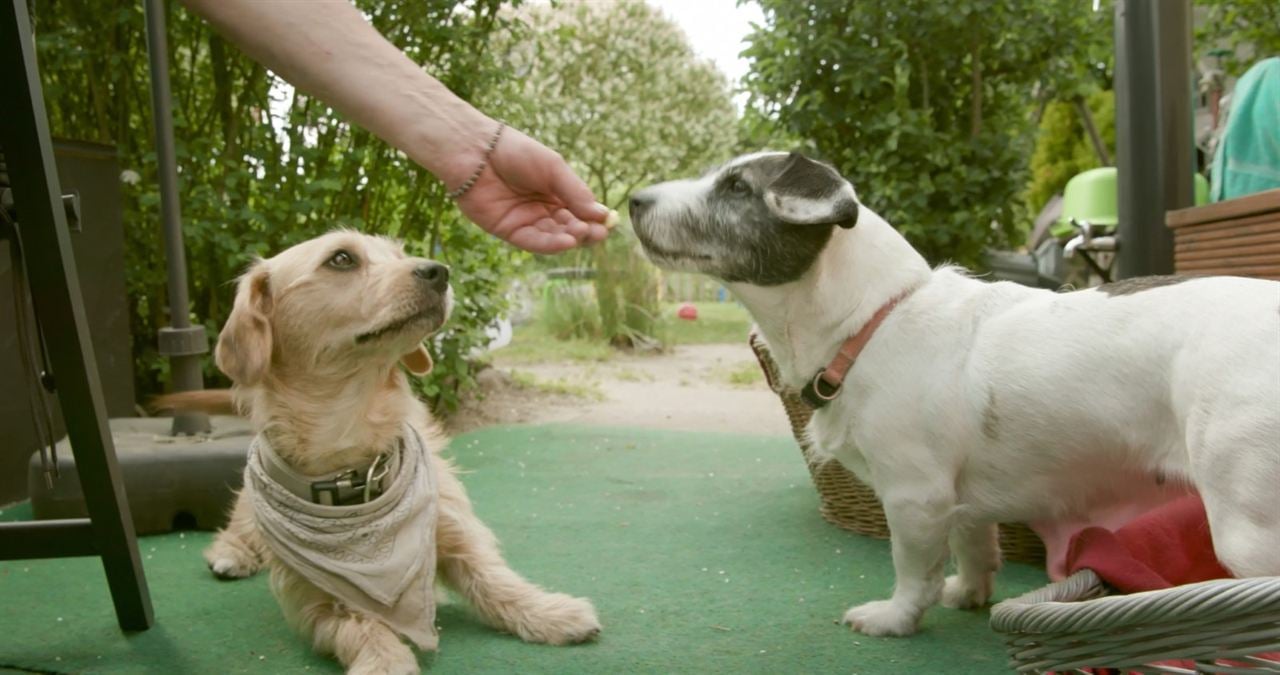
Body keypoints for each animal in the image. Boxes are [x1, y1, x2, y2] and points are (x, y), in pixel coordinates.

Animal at [161, 230, 599, 671]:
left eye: (400, 254)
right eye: (341, 258)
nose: (439, 271)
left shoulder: (452, 527)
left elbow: (493, 579)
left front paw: (549, 612)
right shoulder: (314, 604)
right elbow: (361, 627)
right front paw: (385, 661)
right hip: (253, 501)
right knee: (239, 523)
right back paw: (230, 553)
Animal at [627, 153, 1280, 640]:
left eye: (737, 187)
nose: (633, 199)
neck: (872, 321)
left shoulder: (915, 497)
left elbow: (912, 569)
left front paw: (895, 619)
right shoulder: (965, 501)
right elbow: (973, 548)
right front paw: (968, 593)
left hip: (1246, 526)